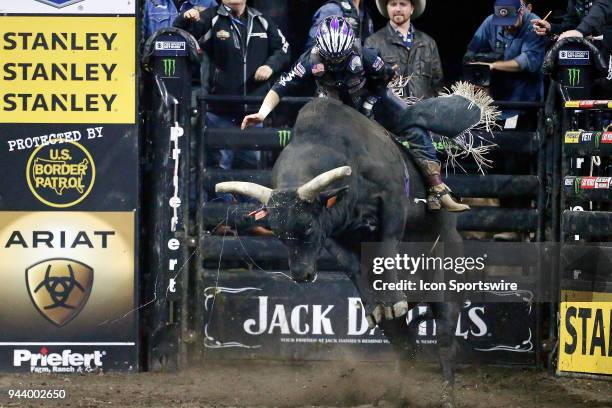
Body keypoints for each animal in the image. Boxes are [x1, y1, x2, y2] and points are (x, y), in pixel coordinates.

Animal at [218, 99, 462, 408]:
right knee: (406, 346)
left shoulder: (392, 199)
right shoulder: (334, 230)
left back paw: (446, 396)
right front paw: (376, 306)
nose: (301, 274)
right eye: (279, 234)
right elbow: (350, 263)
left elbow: (386, 245)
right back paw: (393, 395)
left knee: (445, 341)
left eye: (308, 227)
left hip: (445, 284)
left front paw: (391, 299)